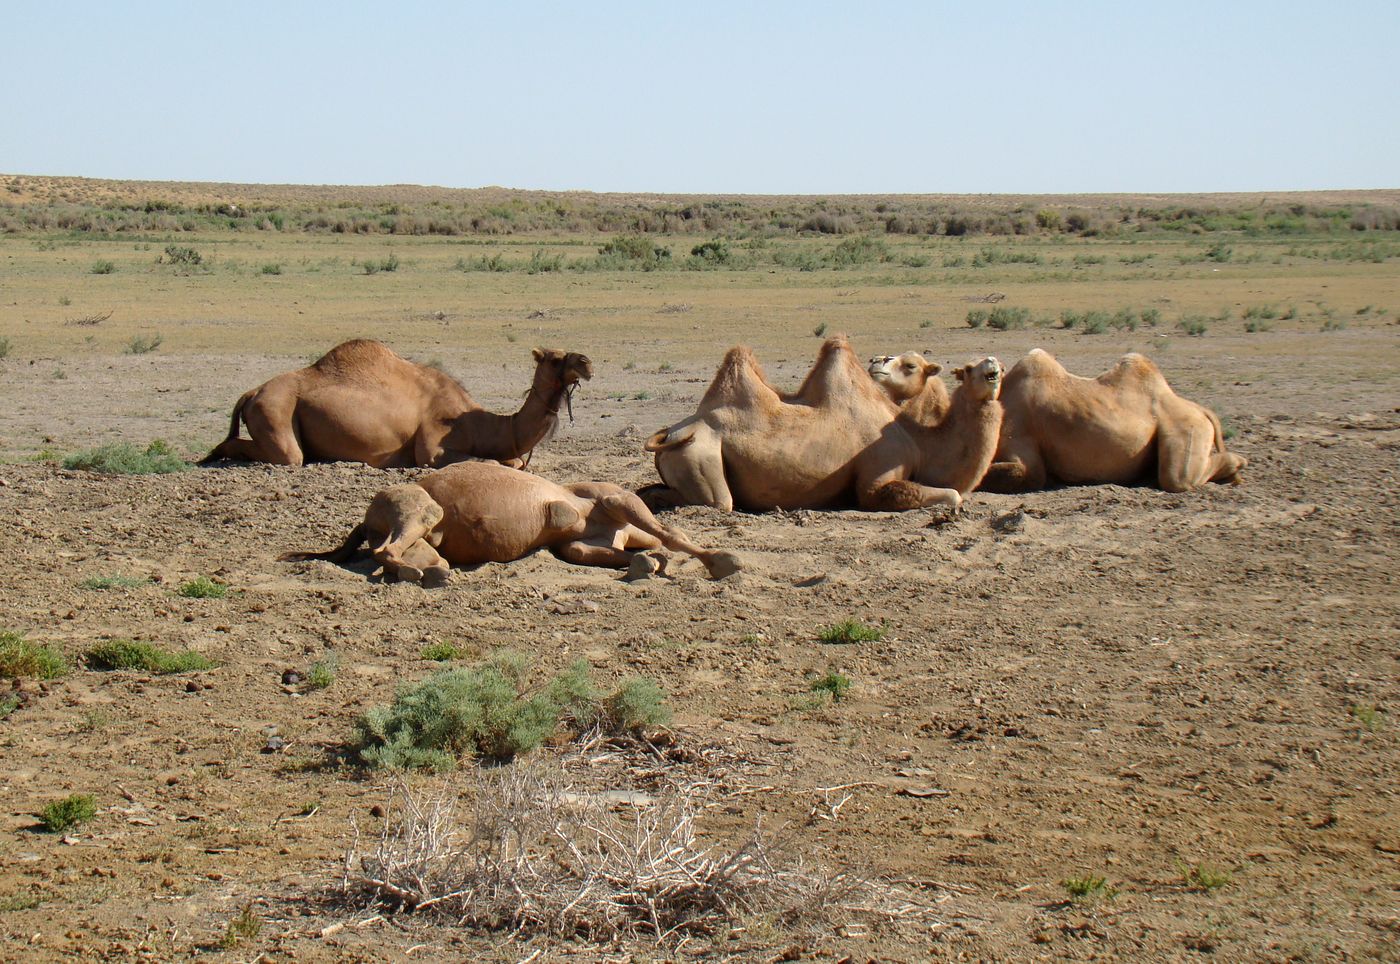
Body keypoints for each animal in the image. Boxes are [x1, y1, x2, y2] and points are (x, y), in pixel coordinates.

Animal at [198, 339, 590, 467]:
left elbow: (514, 461)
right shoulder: (431, 446)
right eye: (555, 358)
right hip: (275, 410)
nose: (586, 362)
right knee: (284, 454)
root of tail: (251, 392)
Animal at [275, 461, 744, 587]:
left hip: (427, 536)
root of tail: (368, 514)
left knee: (399, 556)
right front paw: (723, 561)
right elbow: (672, 536)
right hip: (421, 512)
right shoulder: (617, 500)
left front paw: (651, 562)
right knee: (386, 551)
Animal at [644, 334, 1008, 512]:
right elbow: (952, 494)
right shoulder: (878, 475)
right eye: (969, 368)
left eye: (1000, 368)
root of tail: (671, 433)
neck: (919, 442)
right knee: (718, 503)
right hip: (700, 455)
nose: (993, 365)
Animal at [968, 348, 1254, 495]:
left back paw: (1238, 467)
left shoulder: (1021, 443)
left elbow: (1020, 471)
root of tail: (1200, 409)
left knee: (1177, 478)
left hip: (1187, 428)